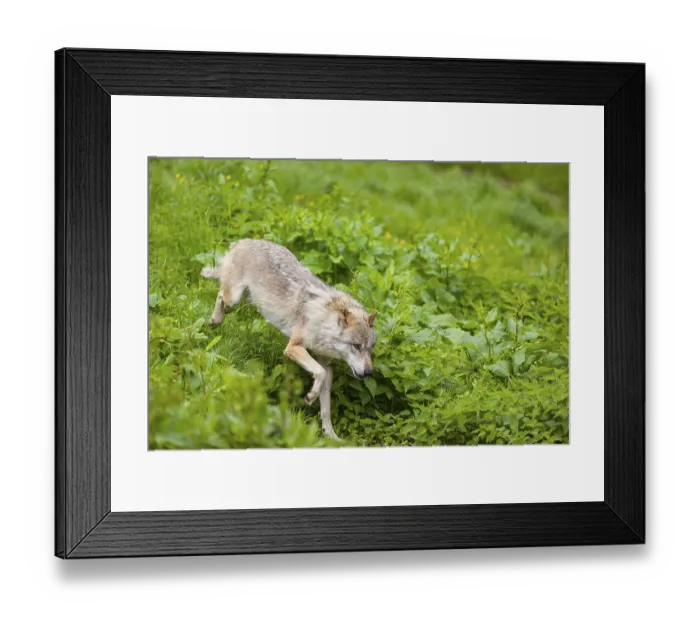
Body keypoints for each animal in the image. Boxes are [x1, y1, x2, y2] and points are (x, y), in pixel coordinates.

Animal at [201, 239, 377, 441]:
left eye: (370, 349)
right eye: (356, 346)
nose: (369, 372)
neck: (324, 321)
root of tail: (244, 241)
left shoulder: (327, 365)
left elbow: (325, 406)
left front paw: (331, 436)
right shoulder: (293, 348)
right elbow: (318, 373)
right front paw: (310, 397)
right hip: (233, 299)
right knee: (221, 295)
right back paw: (214, 321)